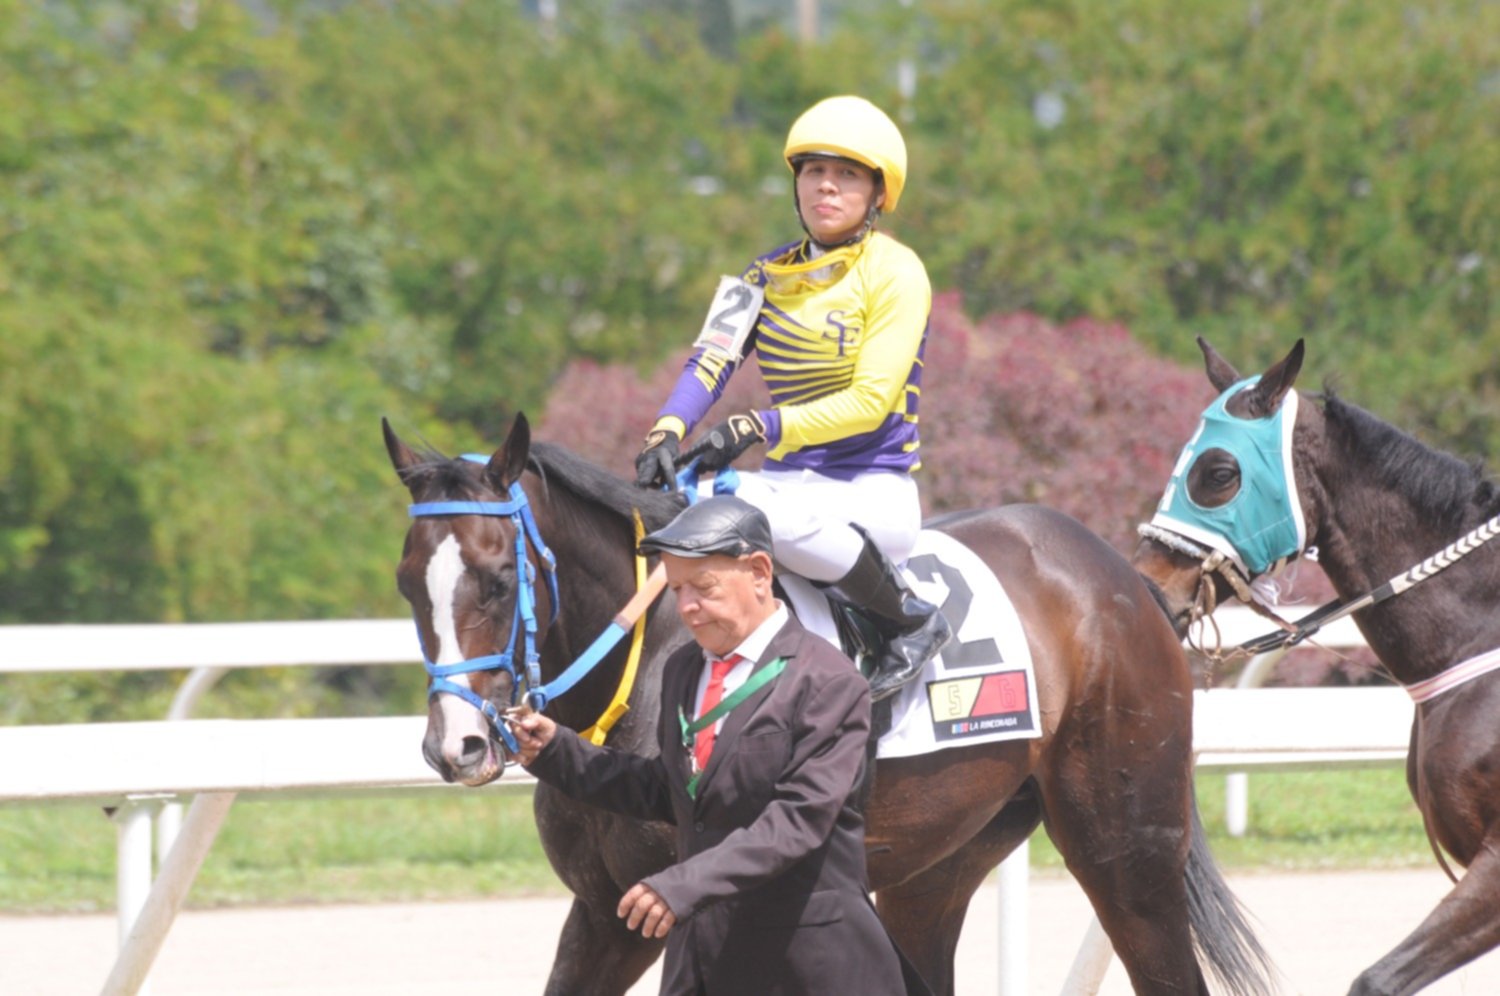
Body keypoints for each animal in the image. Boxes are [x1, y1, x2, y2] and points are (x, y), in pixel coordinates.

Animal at [390, 411, 1278, 996]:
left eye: (495, 581)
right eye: (406, 584)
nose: (456, 745)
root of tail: (1123, 579)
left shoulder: (666, 908)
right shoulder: (601, 910)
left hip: (1127, 852)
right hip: (941, 864)